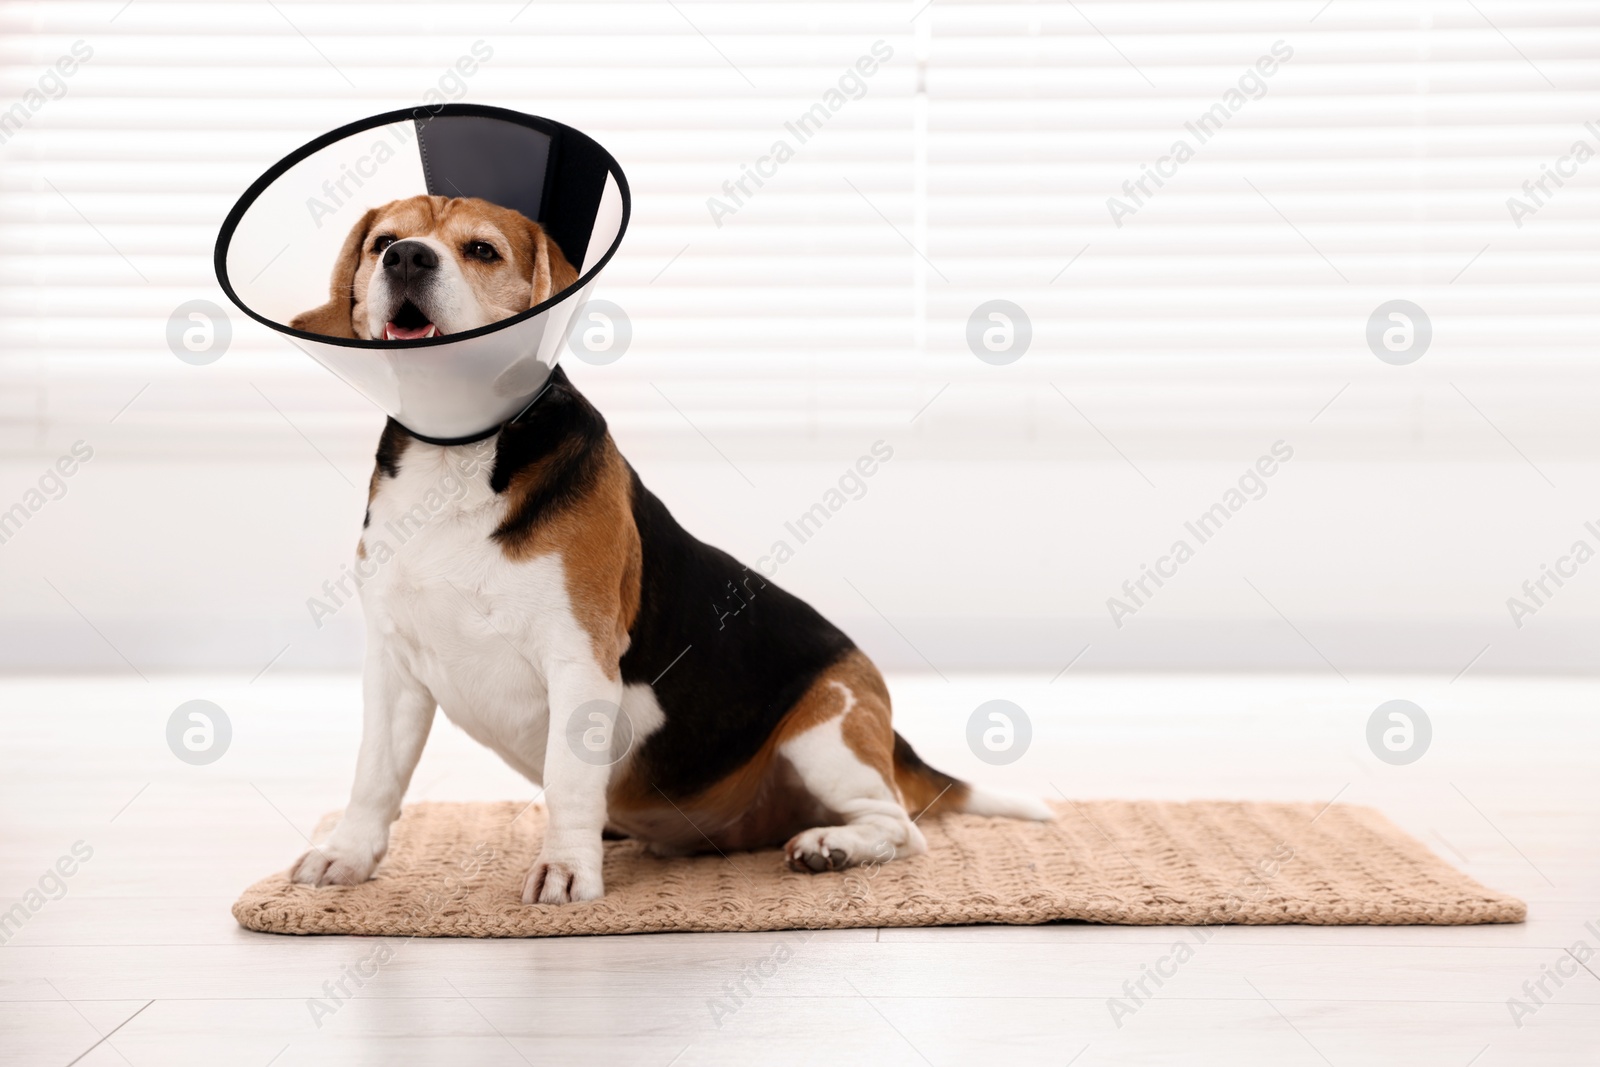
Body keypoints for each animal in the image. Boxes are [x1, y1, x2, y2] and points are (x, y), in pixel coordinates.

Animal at [288, 194, 1049, 902]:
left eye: (482, 250)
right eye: (384, 242)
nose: (407, 258)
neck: (459, 454)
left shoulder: (579, 658)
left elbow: (567, 780)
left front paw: (565, 869)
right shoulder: (394, 667)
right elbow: (375, 775)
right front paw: (346, 855)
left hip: (826, 732)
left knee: (901, 827)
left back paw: (831, 844)